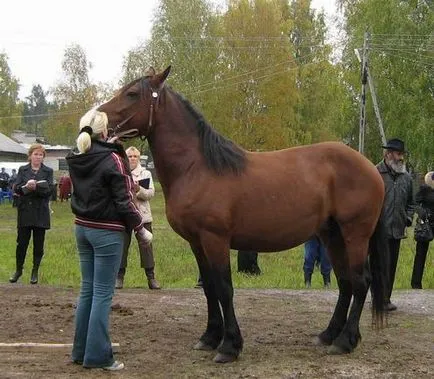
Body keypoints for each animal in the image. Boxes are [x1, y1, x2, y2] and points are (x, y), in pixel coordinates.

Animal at [99, 67, 390, 364]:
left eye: (132, 94)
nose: (98, 120)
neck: (197, 168)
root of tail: (371, 168)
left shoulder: (215, 239)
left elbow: (224, 288)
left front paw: (229, 346)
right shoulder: (197, 242)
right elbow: (209, 288)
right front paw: (209, 337)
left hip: (355, 234)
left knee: (360, 282)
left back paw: (345, 341)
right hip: (332, 235)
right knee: (345, 282)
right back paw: (329, 335)